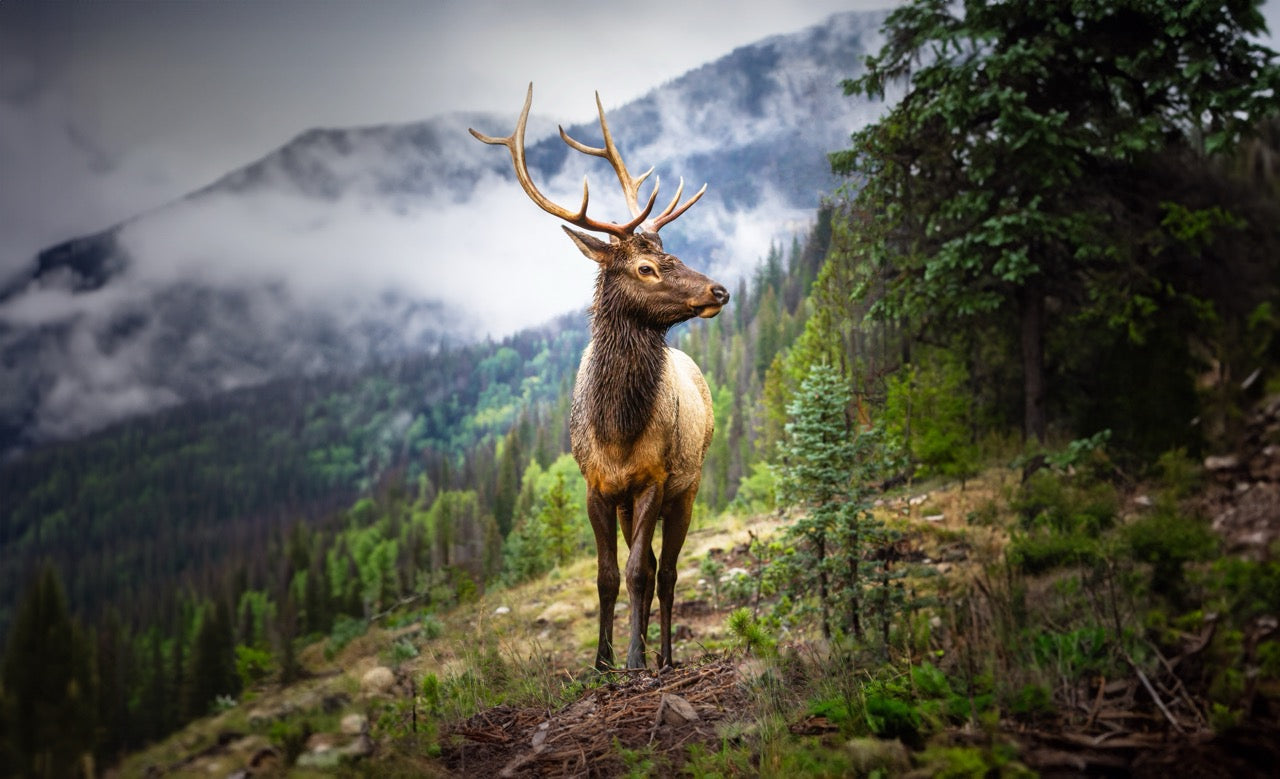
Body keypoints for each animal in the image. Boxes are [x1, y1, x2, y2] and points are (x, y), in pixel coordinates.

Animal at [471, 85, 728, 671]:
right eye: (646, 268)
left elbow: (637, 573)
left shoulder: (654, 478)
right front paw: (602, 661)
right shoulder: (597, 485)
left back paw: (665, 657)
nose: (719, 290)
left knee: (667, 572)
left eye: (671, 255)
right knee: (652, 565)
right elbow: (607, 575)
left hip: (689, 484)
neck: (616, 429)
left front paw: (633, 660)